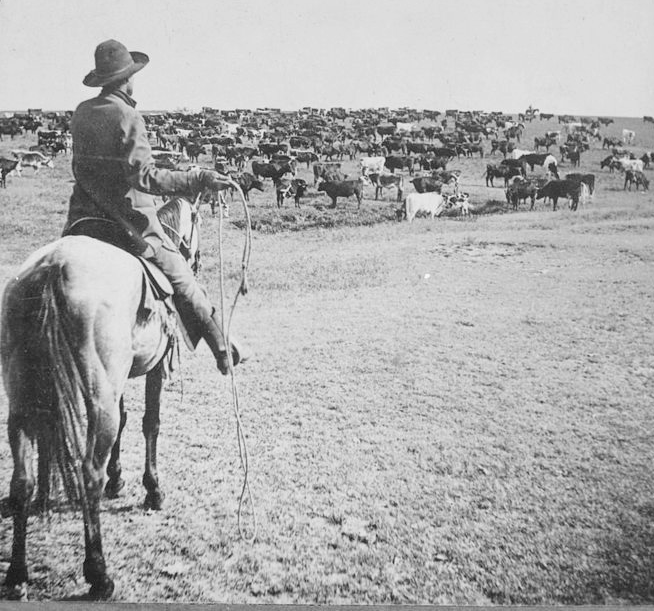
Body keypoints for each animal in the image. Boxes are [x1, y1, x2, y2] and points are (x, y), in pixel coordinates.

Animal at [0, 196, 201, 604]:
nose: (197, 260)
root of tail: (53, 268)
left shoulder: (116, 382)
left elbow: (125, 422)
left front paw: (118, 479)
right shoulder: (153, 370)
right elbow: (150, 423)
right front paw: (152, 490)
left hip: (23, 401)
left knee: (21, 481)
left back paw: (18, 573)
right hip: (97, 398)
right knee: (88, 472)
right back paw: (99, 574)